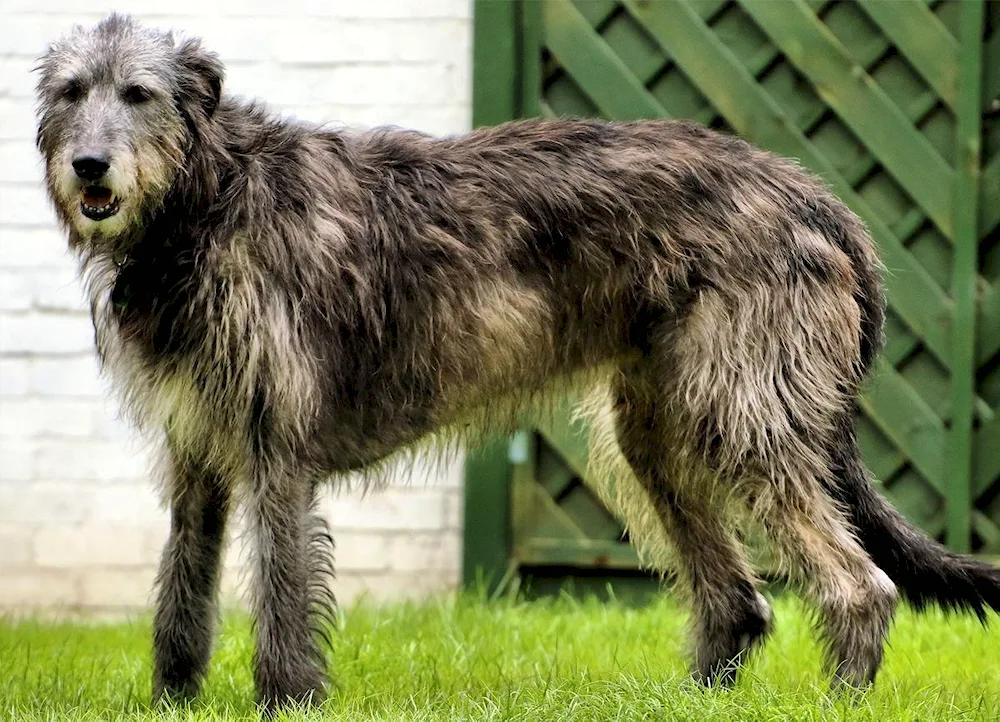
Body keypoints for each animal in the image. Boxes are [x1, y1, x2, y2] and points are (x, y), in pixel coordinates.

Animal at [35, 14, 1000, 712]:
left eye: (140, 93)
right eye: (71, 91)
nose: (90, 166)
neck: (206, 201)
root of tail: (817, 198)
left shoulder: (279, 452)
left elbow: (280, 595)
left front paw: (285, 702)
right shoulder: (196, 456)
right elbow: (181, 591)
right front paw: (171, 702)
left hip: (740, 414)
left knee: (860, 584)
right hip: (658, 430)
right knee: (738, 600)